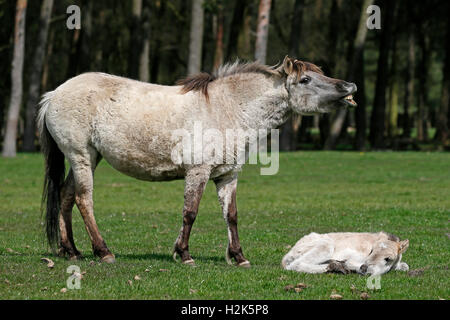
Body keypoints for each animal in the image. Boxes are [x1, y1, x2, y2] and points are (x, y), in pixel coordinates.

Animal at [37, 56, 356, 266]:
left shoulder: (227, 176)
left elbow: (231, 215)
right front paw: (184, 254)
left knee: (65, 196)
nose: (350, 86)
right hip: (82, 157)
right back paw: (103, 251)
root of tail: (54, 94)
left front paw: (238, 257)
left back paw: (71, 250)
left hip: (87, 159)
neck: (227, 108)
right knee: (83, 200)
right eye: (305, 79)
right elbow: (190, 212)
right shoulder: (198, 172)